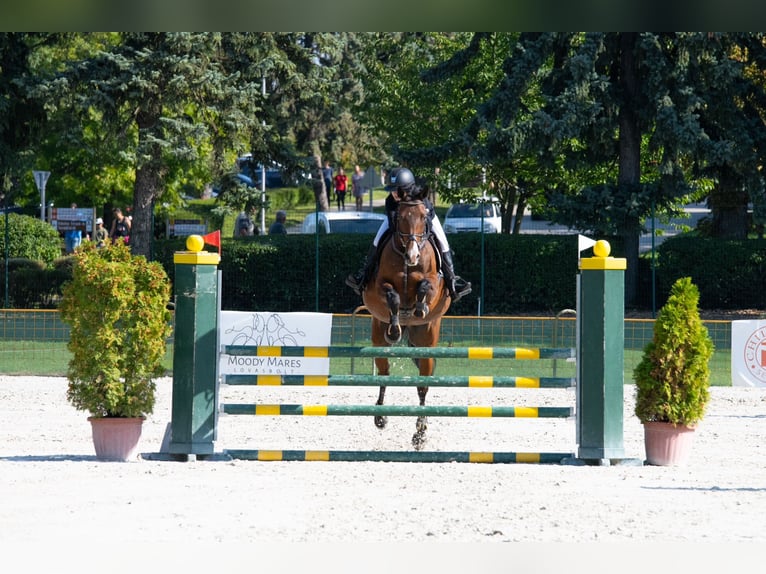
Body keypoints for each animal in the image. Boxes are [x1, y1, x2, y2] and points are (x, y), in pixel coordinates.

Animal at [364, 188, 452, 450]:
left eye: (424, 217)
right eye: (400, 218)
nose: (413, 255)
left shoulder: (435, 281)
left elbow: (426, 285)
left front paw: (420, 307)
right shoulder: (379, 286)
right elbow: (392, 295)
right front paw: (395, 329)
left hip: (426, 344)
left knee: (423, 386)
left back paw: (420, 434)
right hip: (378, 338)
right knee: (384, 373)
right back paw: (380, 417)